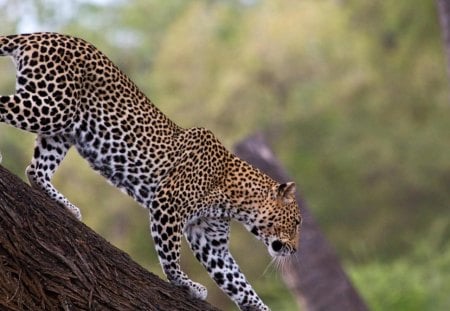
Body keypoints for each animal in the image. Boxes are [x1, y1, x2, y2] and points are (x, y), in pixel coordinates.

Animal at [0, 32, 302, 311]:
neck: (235, 198)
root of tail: (42, 34)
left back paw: (66, 206)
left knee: (35, 170)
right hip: (50, 107)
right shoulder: (168, 204)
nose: (296, 249)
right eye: (298, 222)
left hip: (62, 128)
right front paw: (185, 284)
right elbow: (170, 255)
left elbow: (238, 281)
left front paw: (259, 306)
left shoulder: (210, 239)